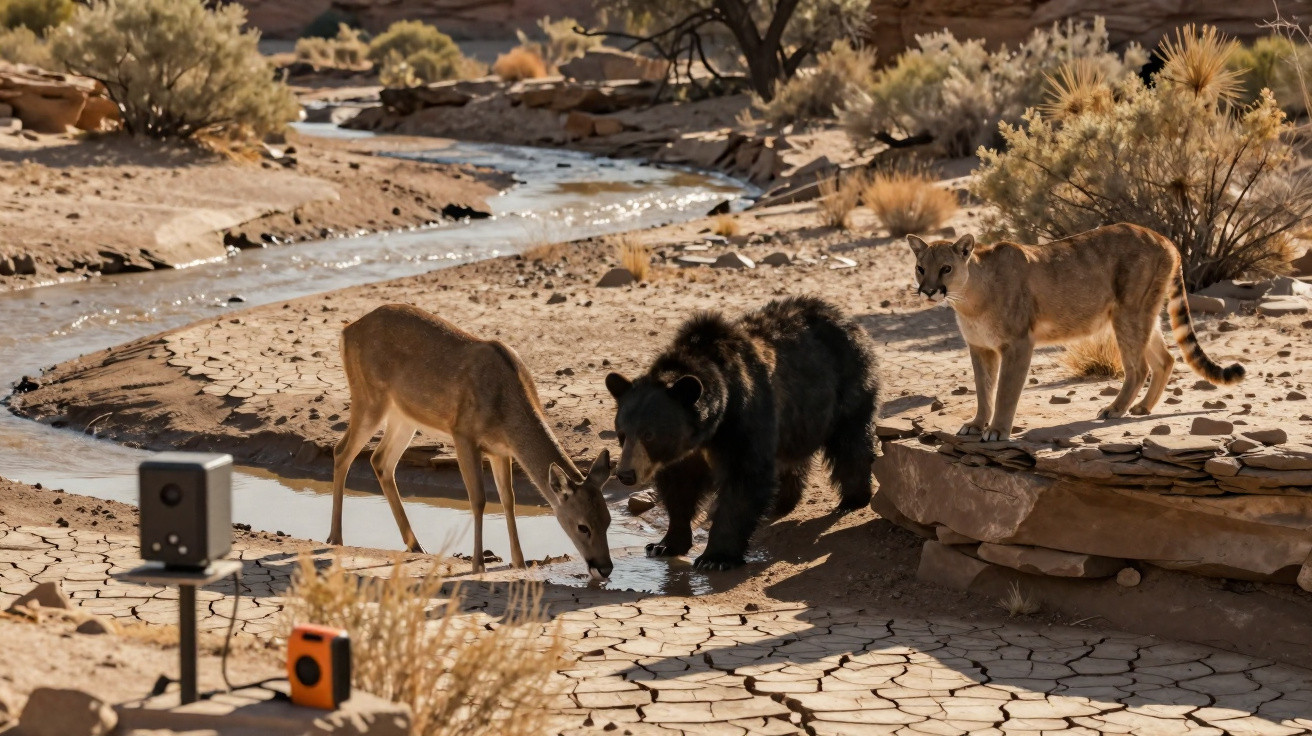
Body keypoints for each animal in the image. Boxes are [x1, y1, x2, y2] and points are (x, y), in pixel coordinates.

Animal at [327, 303, 614, 580]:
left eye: (608, 520)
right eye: (583, 526)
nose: (605, 568)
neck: (506, 404)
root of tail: (346, 332)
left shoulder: (501, 451)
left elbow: (508, 499)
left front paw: (519, 562)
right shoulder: (463, 433)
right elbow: (478, 499)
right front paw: (479, 564)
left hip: (404, 416)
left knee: (380, 460)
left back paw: (416, 545)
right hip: (369, 398)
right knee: (342, 451)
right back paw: (335, 538)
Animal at [604, 295, 881, 571]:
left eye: (649, 434)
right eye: (622, 433)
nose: (625, 474)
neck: (710, 428)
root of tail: (844, 318)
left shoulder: (744, 417)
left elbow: (744, 479)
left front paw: (715, 557)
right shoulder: (687, 452)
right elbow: (680, 487)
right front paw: (664, 544)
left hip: (847, 385)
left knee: (851, 441)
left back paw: (853, 497)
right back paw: (783, 500)